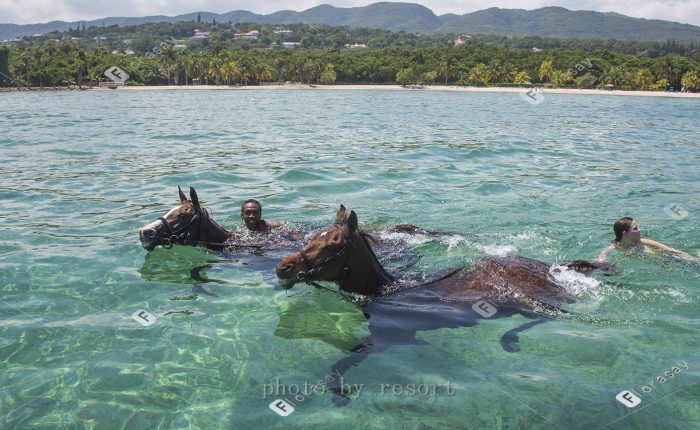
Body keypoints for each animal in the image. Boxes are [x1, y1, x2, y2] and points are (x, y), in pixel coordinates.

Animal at [274, 205, 612, 404]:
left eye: (331, 245)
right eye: (312, 237)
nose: (283, 268)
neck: (389, 291)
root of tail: (554, 267)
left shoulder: (391, 338)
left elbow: (340, 364)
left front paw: (340, 393)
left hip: (530, 302)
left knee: (554, 317)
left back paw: (509, 339)